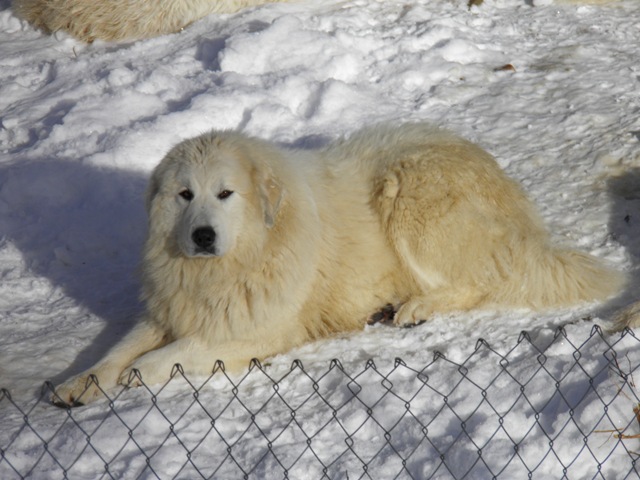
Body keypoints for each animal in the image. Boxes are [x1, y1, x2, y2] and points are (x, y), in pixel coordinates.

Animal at [52, 123, 624, 404]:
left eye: (225, 193)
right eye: (184, 194)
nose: (202, 235)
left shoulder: (259, 330)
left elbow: (162, 357)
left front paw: (136, 375)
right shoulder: (170, 308)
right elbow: (118, 350)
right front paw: (78, 382)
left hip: (407, 196)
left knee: (483, 281)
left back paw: (415, 307)